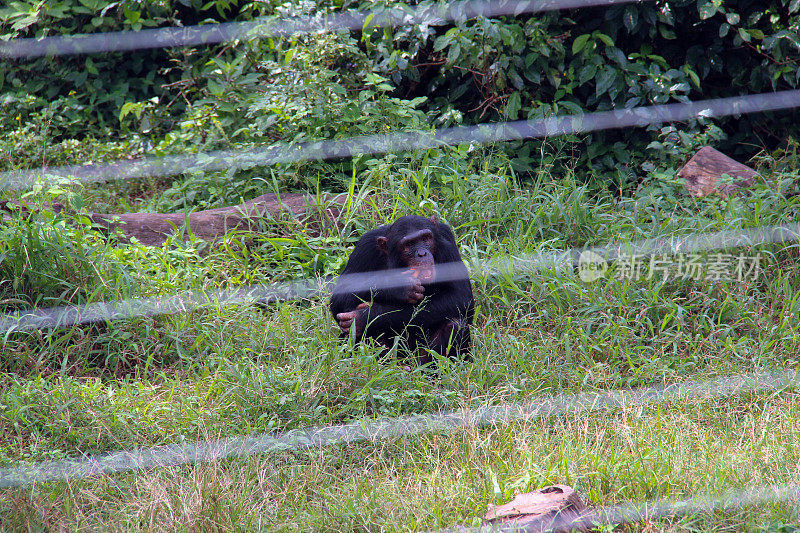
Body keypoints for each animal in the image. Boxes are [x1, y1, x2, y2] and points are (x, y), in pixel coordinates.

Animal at [332, 214, 476, 364]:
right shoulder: (364, 247)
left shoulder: (447, 239)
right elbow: (340, 296)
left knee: (456, 324)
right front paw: (398, 287)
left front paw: (366, 316)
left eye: (426, 238)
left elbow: (460, 297)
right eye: (409, 245)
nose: (422, 253)